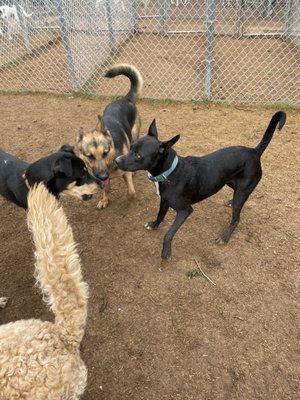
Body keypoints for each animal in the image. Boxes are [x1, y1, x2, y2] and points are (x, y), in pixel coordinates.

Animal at [73, 64, 142, 208]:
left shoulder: (125, 174)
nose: (104, 176)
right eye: (89, 156)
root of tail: (125, 99)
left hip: (134, 135)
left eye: (105, 152)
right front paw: (104, 199)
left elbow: (131, 193)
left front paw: (129, 200)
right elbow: (106, 188)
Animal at [116, 111, 288, 260]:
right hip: (232, 184)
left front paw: (166, 252)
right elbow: (160, 214)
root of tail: (254, 151)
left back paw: (225, 237)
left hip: (242, 191)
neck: (169, 171)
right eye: (130, 147)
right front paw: (154, 225)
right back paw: (230, 202)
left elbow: (169, 233)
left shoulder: (184, 211)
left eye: (138, 155)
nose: (116, 160)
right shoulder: (164, 200)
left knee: (236, 219)